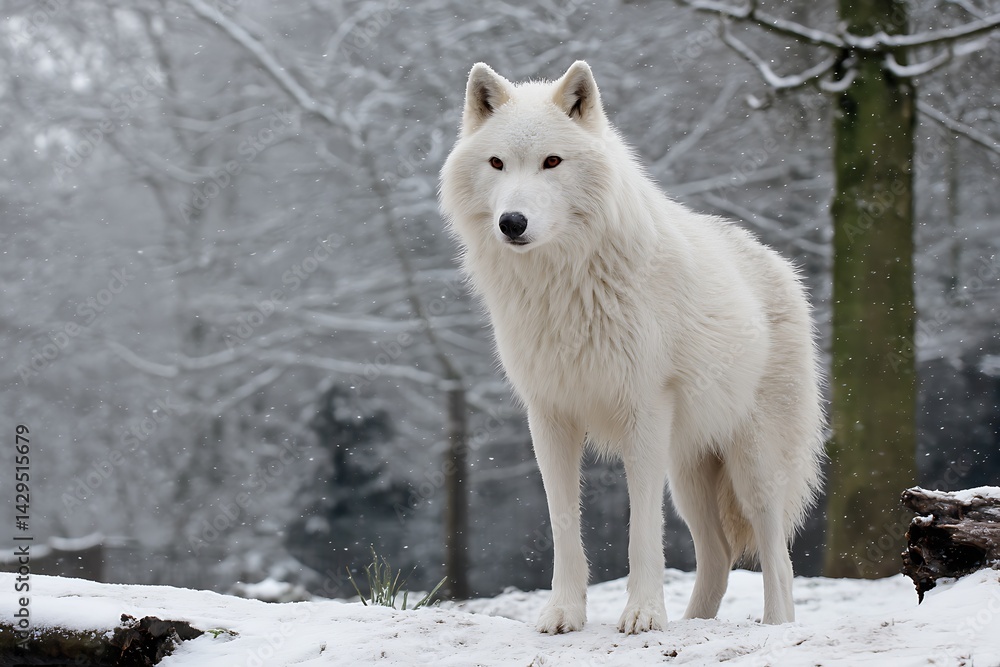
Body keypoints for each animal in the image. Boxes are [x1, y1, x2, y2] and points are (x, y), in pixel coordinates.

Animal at [439, 61, 825, 634]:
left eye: (552, 162)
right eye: (497, 163)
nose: (512, 222)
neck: (564, 284)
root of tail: (779, 262)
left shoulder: (644, 411)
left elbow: (642, 529)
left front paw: (643, 613)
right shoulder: (548, 416)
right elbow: (563, 524)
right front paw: (563, 613)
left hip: (752, 467)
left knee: (778, 559)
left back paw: (776, 628)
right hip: (689, 475)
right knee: (718, 556)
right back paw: (694, 624)